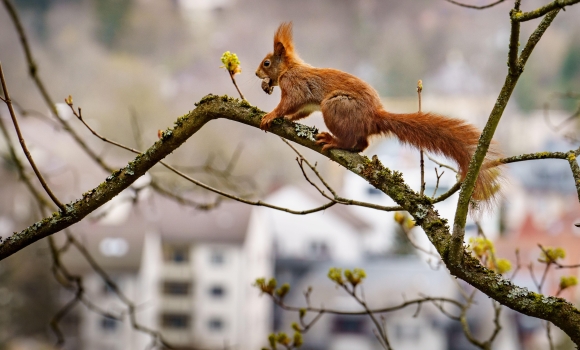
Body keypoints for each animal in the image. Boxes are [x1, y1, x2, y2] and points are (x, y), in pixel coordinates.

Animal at [256, 21, 500, 202]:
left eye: (266, 63)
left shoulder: (294, 86)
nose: (257, 74)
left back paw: (334, 141)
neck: (289, 68)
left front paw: (271, 115)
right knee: (362, 143)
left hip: (335, 106)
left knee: (352, 140)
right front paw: (287, 118)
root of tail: (373, 116)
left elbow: (287, 104)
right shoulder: (306, 104)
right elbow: (300, 112)